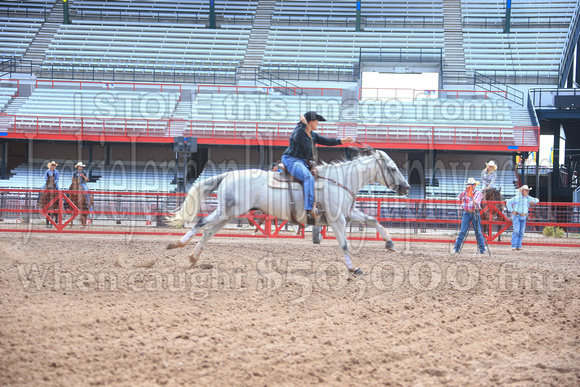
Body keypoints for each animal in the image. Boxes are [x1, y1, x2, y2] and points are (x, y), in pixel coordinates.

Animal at [165, 149, 410, 276]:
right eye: (392, 168)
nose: (406, 187)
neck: (340, 180)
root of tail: (228, 175)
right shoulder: (337, 220)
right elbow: (344, 244)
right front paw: (353, 268)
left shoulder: (348, 215)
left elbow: (373, 219)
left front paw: (390, 243)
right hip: (225, 213)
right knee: (201, 223)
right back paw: (176, 244)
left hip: (228, 215)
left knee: (207, 232)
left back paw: (193, 257)